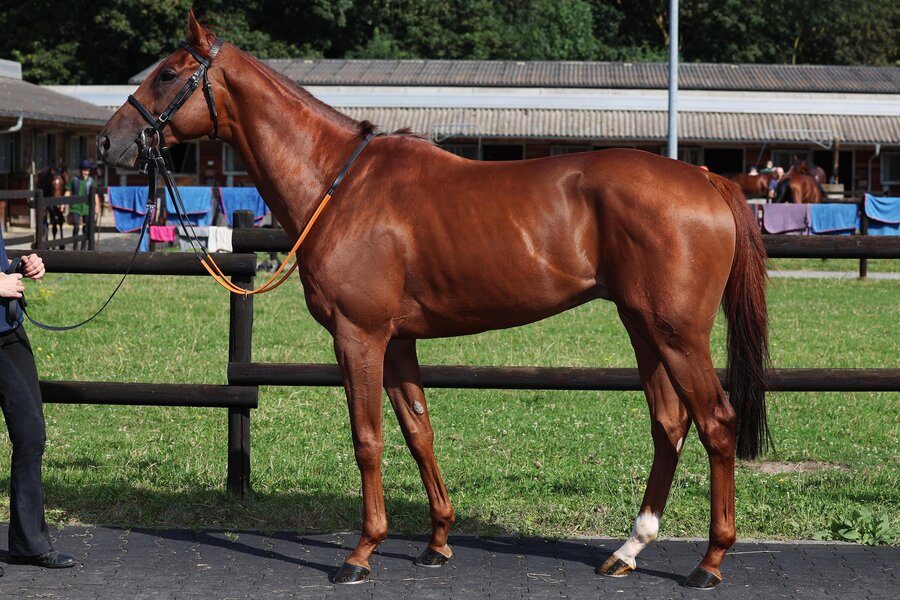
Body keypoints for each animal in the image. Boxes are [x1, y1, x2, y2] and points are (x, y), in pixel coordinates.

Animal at [98, 12, 769, 590]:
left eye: (168, 73)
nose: (110, 143)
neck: (339, 184)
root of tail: (706, 178)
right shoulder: (398, 342)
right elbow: (418, 430)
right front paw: (438, 541)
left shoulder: (359, 336)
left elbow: (367, 437)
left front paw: (362, 552)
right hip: (643, 327)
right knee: (669, 423)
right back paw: (629, 549)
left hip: (678, 334)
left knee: (716, 422)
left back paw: (710, 562)